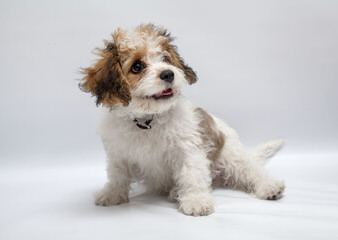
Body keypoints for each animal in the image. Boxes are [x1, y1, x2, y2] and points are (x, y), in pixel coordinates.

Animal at [81, 23, 286, 216]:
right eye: (137, 67)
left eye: (165, 58)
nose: (168, 74)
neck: (148, 121)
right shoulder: (118, 154)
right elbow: (118, 175)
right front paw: (112, 194)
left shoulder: (188, 149)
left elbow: (192, 174)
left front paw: (196, 200)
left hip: (232, 156)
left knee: (251, 171)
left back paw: (269, 187)